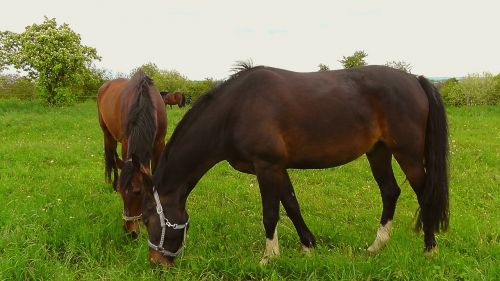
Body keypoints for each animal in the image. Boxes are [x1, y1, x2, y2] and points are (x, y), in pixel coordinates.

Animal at [96, 70, 167, 238]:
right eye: (122, 192)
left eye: (137, 191)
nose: (131, 232)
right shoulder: (126, 142)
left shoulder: (160, 144)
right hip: (107, 134)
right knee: (111, 158)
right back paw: (111, 182)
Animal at [136, 64, 450, 264]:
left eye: (149, 219)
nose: (155, 262)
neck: (235, 110)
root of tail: (415, 79)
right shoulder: (277, 168)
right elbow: (291, 205)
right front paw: (308, 246)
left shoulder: (266, 167)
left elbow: (271, 213)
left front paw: (268, 258)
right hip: (379, 152)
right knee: (390, 191)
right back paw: (376, 246)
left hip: (407, 154)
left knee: (424, 193)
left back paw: (430, 249)